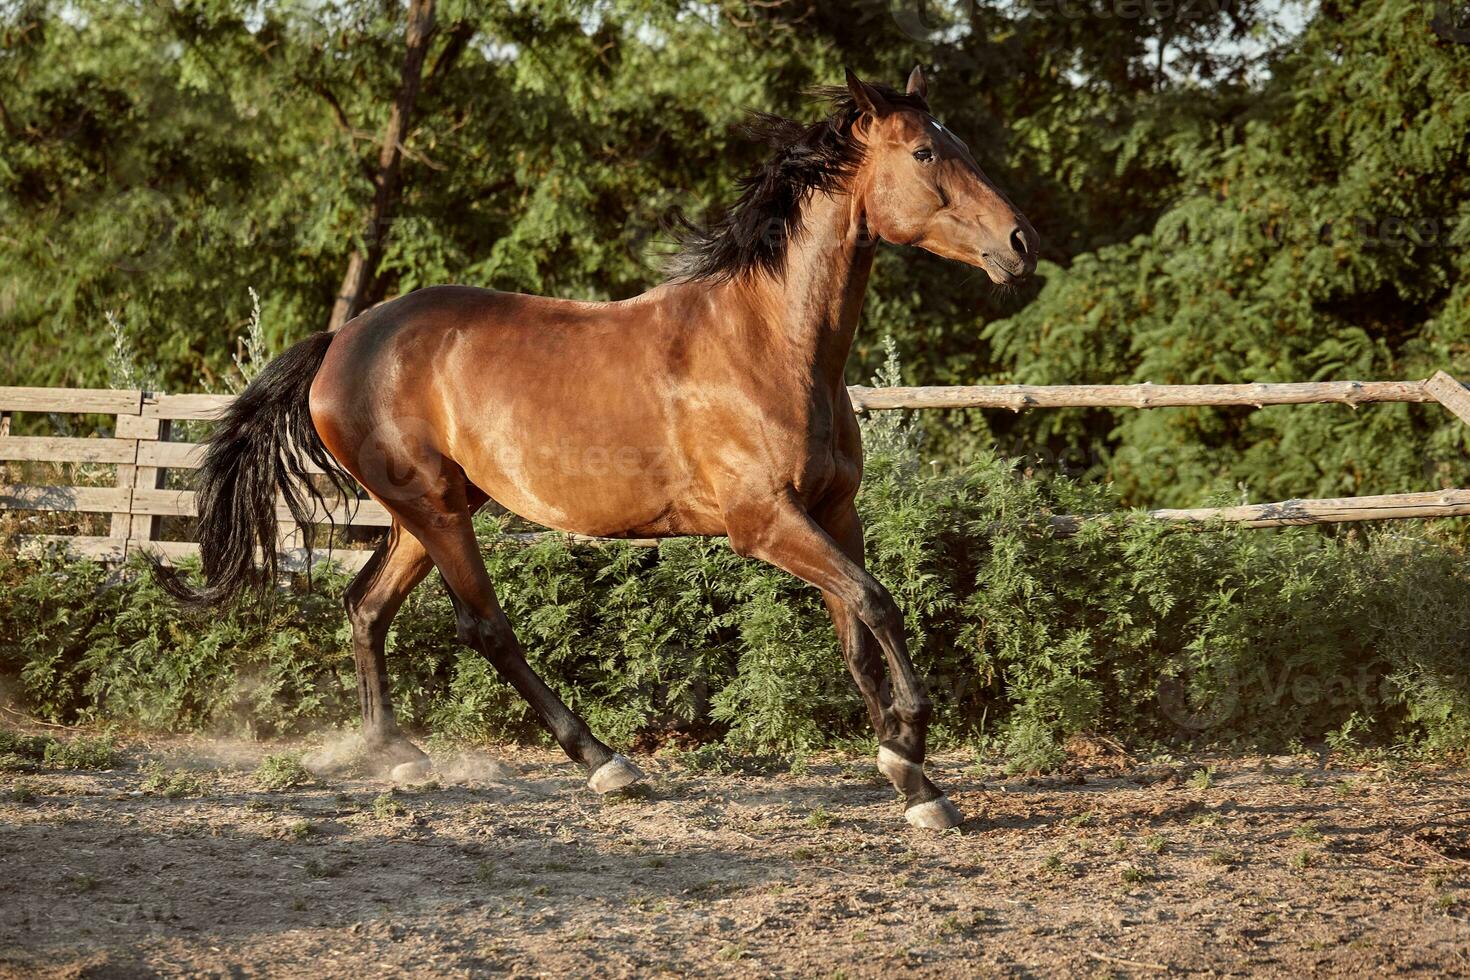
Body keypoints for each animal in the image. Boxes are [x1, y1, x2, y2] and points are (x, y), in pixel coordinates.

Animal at [163, 69, 1034, 834]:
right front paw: (909, 751)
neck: (771, 344)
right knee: (484, 626)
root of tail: (343, 340)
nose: (1021, 242)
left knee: (367, 604)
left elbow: (857, 630)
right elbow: (879, 602)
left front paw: (912, 780)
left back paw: (399, 755)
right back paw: (605, 762)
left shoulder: (833, 511)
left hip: (429, 510)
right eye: (924, 153)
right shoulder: (764, 523)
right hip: (434, 508)